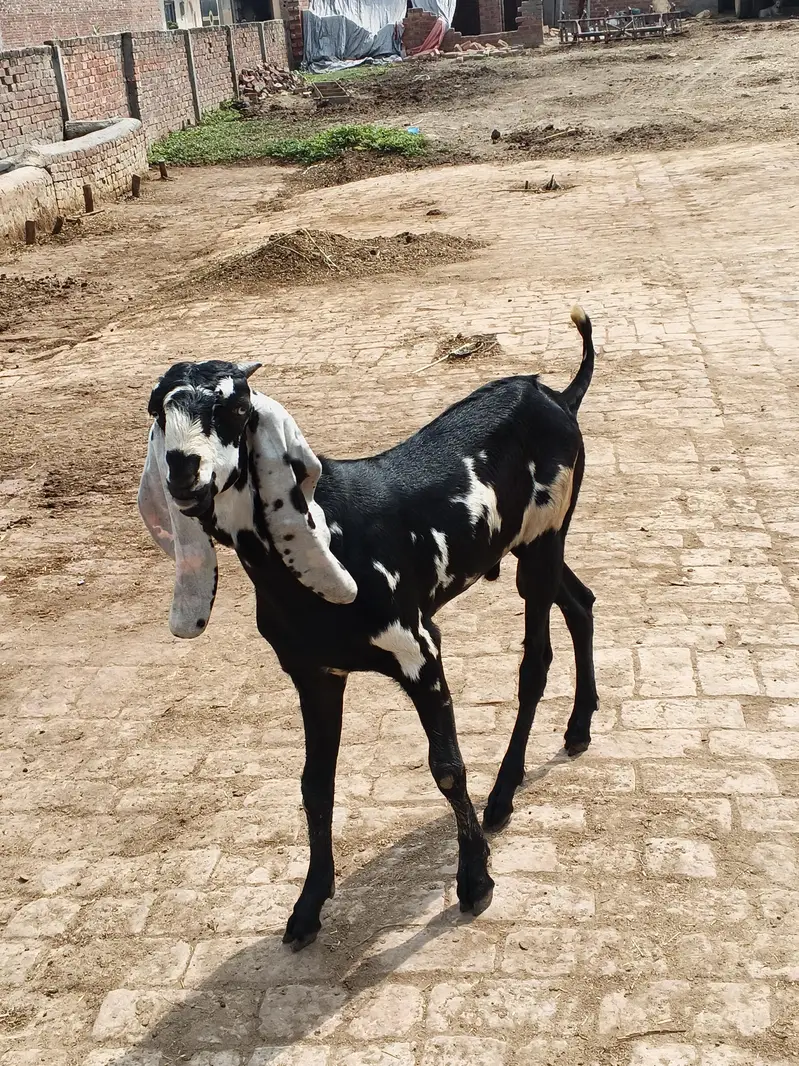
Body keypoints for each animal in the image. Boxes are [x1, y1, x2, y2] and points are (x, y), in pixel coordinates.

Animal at [138, 307, 599, 950]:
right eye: (157, 409)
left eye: (234, 407)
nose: (184, 469)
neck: (329, 526)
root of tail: (555, 395)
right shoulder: (315, 673)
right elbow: (315, 784)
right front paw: (308, 905)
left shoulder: (419, 650)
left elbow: (447, 767)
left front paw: (475, 880)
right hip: (530, 546)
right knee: (581, 603)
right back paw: (579, 727)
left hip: (543, 541)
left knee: (535, 662)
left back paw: (505, 793)